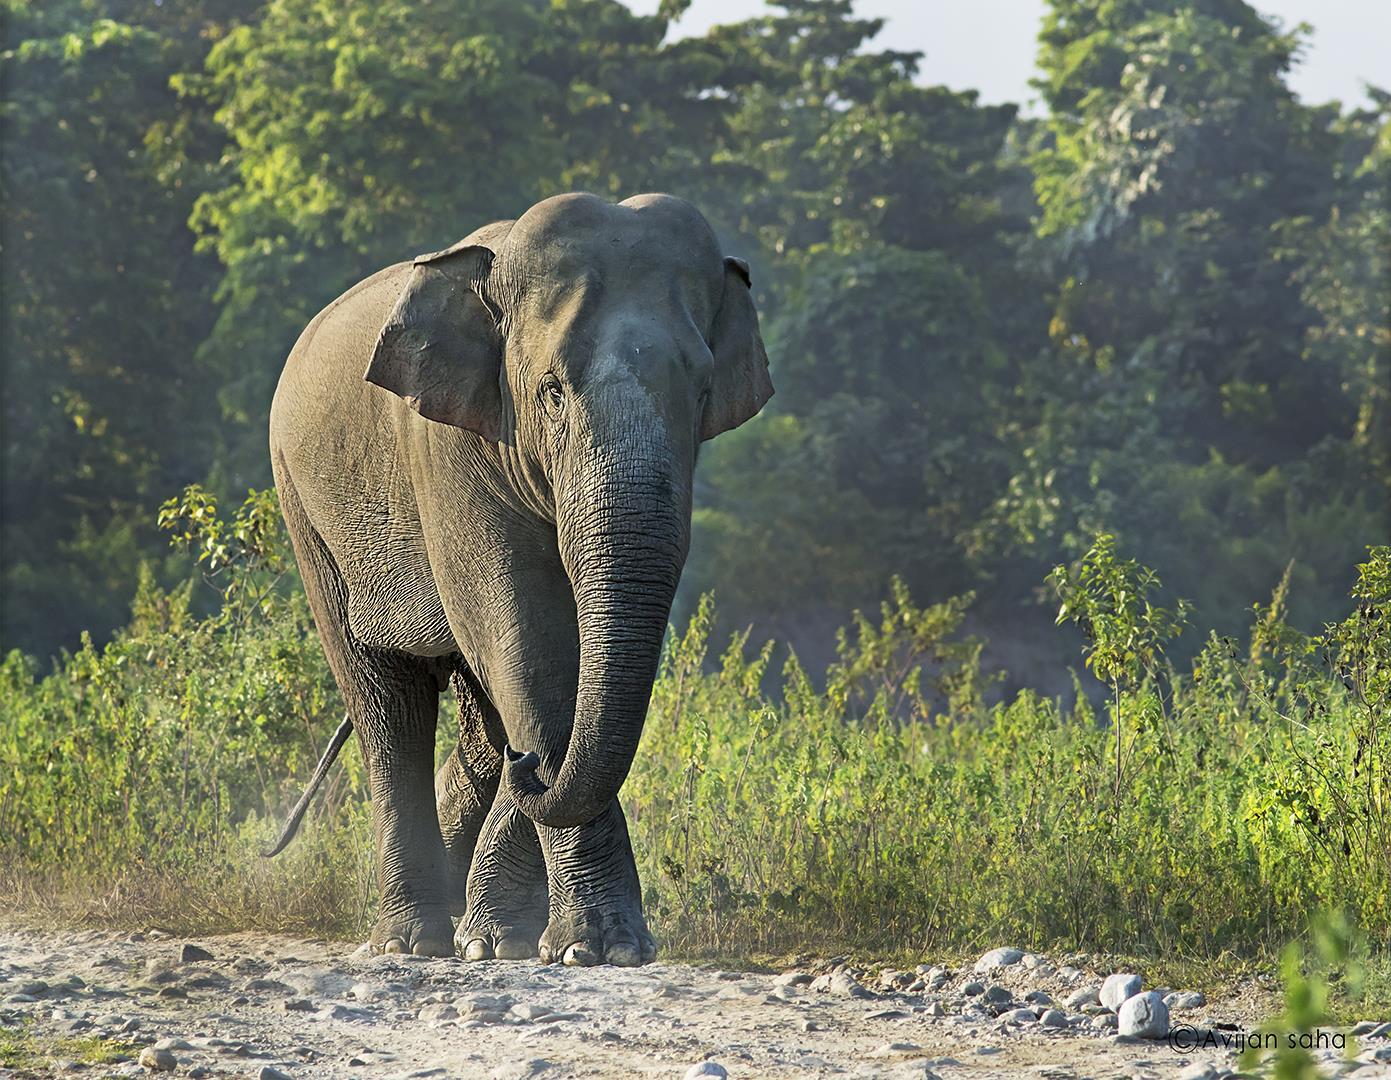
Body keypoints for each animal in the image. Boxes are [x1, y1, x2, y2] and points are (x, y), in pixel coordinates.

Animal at [265, 192, 778, 963]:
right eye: (552, 393)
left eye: (701, 393)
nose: (532, 760)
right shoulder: (449, 448)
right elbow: (522, 640)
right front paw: (591, 948)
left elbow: (542, 662)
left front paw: (516, 939)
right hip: (305, 513)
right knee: (387, 703)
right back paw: (413, 939)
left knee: (476, 728)